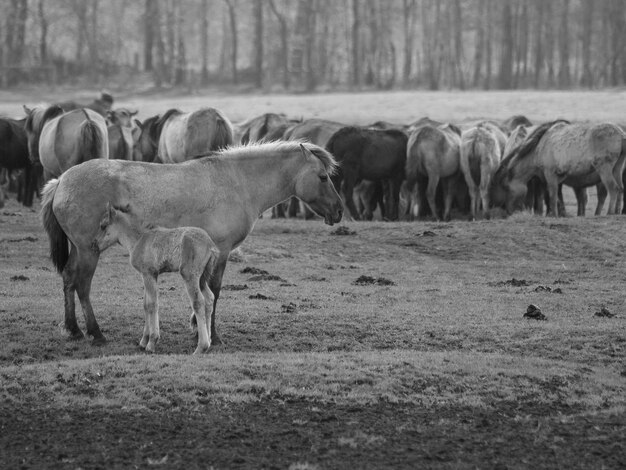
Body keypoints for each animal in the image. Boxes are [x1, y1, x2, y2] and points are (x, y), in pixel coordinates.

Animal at [94, 201, 218, 352]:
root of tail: (210, 244)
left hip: (190, 275)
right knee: (209, 298)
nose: (94, 244)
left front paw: (152, 342)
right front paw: (143, 340)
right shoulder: (149, 275)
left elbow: (152, 304)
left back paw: (201, 346)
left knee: (198, 301)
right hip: (202, 277)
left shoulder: (148, 273)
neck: (139, 239)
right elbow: (146, 304)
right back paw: (209, 341)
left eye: (103, 225)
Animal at [488, 121, 624, 217]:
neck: (539, 148)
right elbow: (552, 197)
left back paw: (610, 212)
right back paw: (617, 212)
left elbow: (552, 195)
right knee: (620, 189)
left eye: (506, 187)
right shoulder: (549, 178)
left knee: (613, 188)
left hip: (604, 170)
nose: (507, 211)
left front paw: (553, 214)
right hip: (617, 170)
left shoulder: (550, 175)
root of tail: (621, 134)